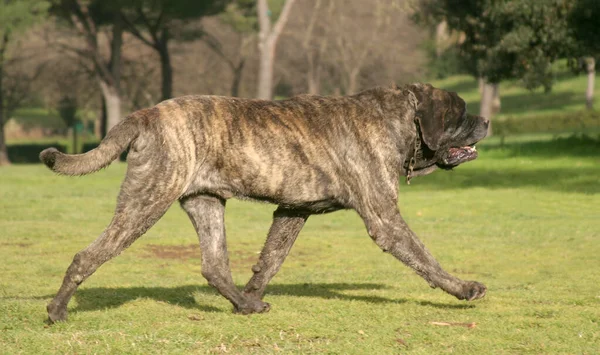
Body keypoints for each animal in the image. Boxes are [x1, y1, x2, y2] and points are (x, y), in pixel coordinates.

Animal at [39, 82, 490, 322]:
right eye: (462, 112)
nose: (486, 120)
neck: (395, 121)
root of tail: (145, 114)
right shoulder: (385, 219)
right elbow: (425, 258)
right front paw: (463, 288)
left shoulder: (293, 212)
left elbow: (270, 259)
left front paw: (253, 292)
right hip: (144, 204)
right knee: (87, 255)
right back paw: (57, 310)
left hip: (206, 205)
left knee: (215, 266)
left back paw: (245, 304)